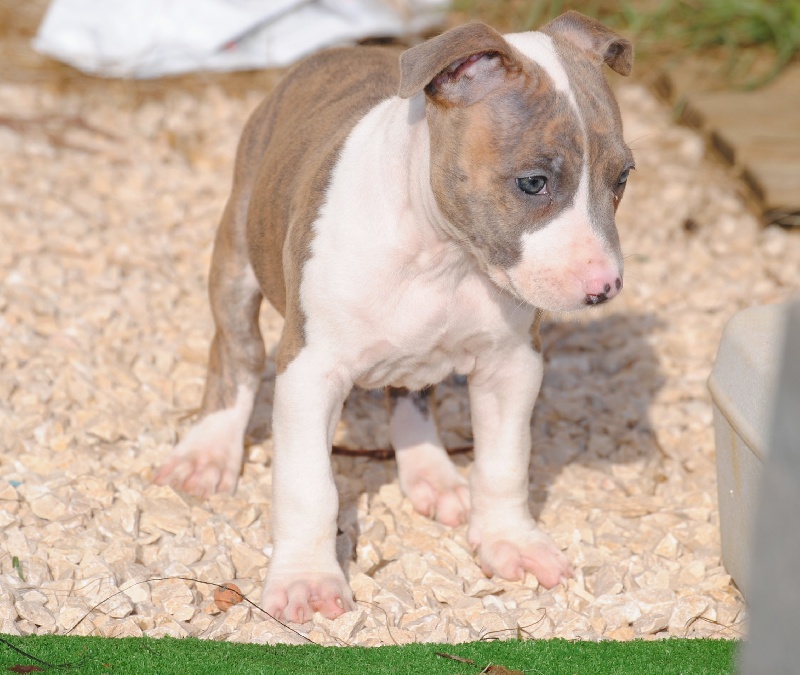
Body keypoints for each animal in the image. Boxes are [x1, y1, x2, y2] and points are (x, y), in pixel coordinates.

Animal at [155, 10, 633, 623]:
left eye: (622, 179)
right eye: (533, 182)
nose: (605, 287)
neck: (444, 254)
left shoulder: (512, 366)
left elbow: (505, 462)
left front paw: (511, 541)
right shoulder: (310, 371)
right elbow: (309, 486)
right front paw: (308, 580)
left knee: (410, 395)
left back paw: (432, 474)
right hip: (238, 246)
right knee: (236, 352)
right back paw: (209, 450)